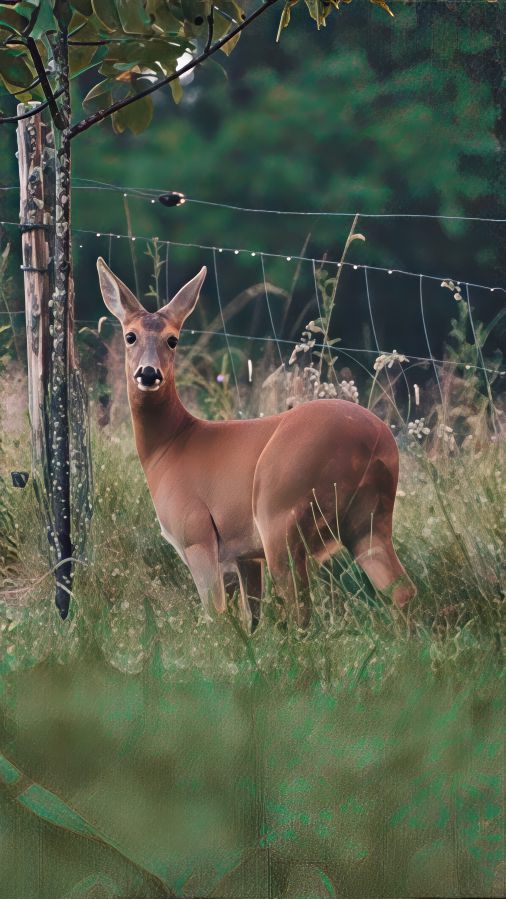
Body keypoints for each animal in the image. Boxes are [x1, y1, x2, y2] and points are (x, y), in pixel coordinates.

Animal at [97, 258, 415, 630]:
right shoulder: (244, 555)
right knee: (400, 589)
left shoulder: (197, 533)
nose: (149, 374)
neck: (170, 447)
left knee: (300, 608)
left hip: (280, 509)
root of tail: (376, 441)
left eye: (173, 339)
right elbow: (251, 618)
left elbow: (217, 615)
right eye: (130, 335)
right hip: (369, 519)